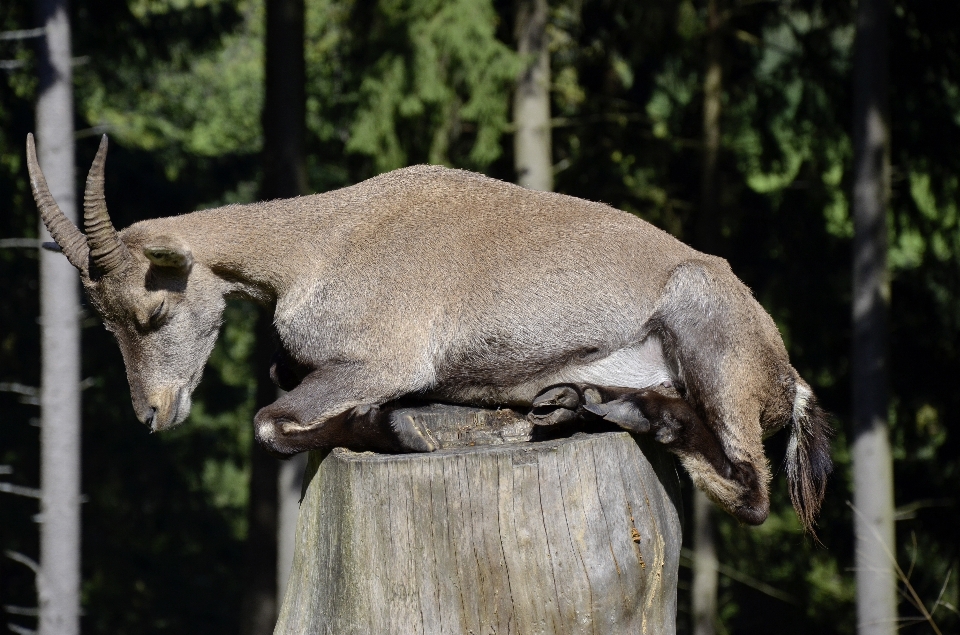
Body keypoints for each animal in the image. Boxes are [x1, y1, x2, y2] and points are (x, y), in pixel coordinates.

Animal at [26, 134, 828, 532]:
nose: (154, 411)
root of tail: (785, 377)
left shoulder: (382, 360)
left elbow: (274, 420)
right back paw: (574, 402)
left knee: (751, 490)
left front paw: (402, 425)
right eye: (105, 319)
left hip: (708, 334)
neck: (321, 243)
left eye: (153, 312)